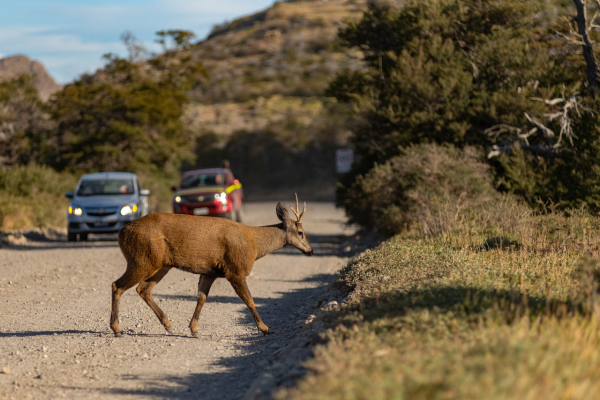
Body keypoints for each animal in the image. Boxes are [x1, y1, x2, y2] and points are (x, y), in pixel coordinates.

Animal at [110, 196, 314, 338]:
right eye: (301, 232)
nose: (310, 250)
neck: (254, 245)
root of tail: (121, 233)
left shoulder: (210, 272)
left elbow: (201, 298)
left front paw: (194, 329)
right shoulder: (235, 270)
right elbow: (249, 300)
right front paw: (264, 328)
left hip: (160, 264)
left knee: (143, 289)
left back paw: (168, 325)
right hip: (142, 259)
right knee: (117, 285)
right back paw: (117, 329)